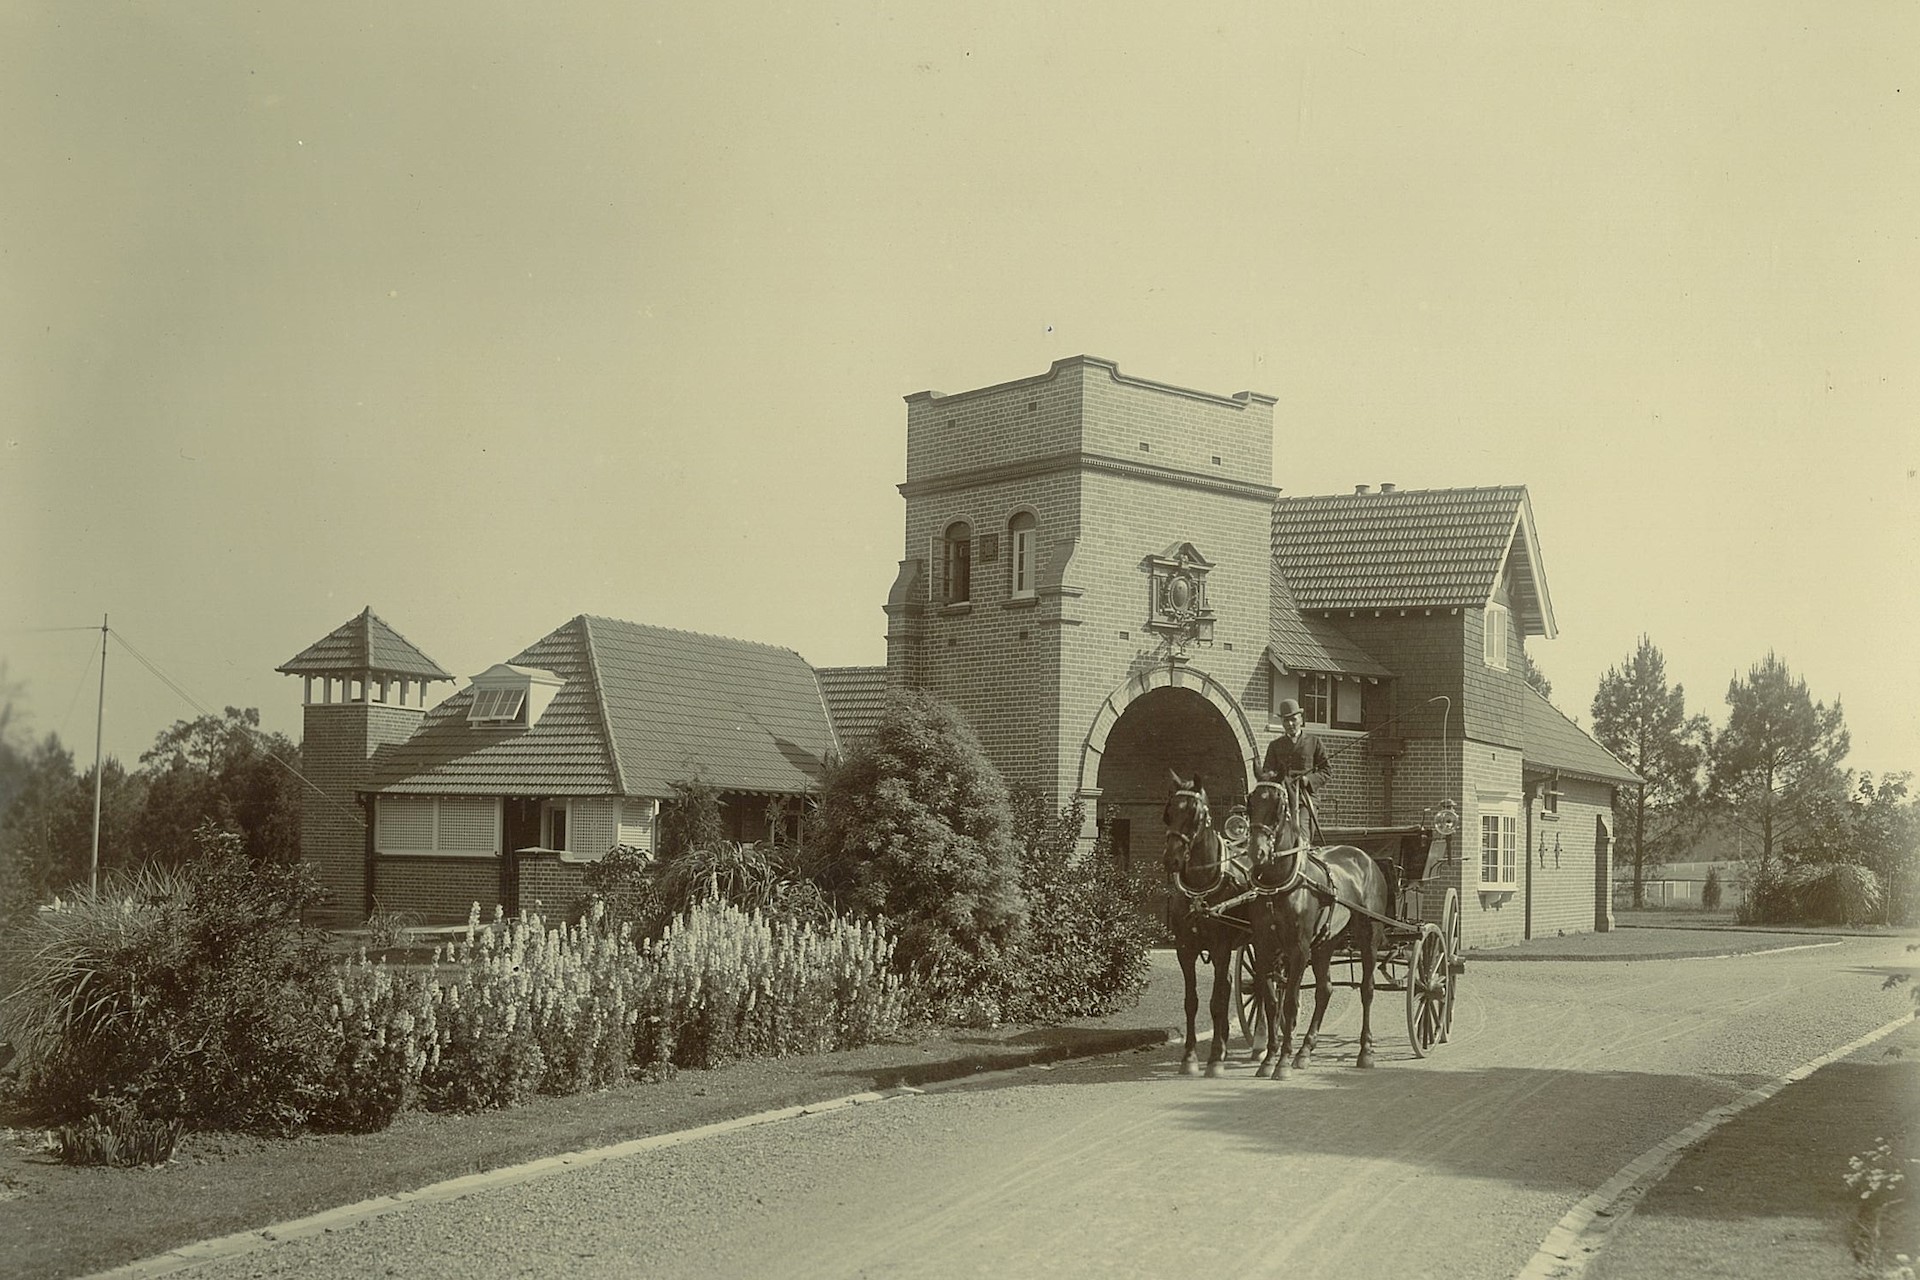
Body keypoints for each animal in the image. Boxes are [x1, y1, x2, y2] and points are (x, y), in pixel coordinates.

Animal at [1159, 775, 1251, 1074]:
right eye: (1168, 813)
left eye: (1196, 815)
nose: (1172, 860)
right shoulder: (1185, 949)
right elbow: (1192, 1002)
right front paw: (1189, 1057)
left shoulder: (1221, 948)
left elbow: (1217, 1002)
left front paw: (1214, 1059)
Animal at [1244, 782, 1397, 1082]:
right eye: (1251, 802)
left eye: (1278, 806)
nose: (1258, 852)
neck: (1282, 882)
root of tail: (1367, 859)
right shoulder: (1265, 947)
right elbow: (1270, 1002)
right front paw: (1268, 1058)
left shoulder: (1299, 949)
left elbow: (1290, 1003)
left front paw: (1282, 1062)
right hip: (1326, 942)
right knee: (1324, 989)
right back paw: (1305, 1051)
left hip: (1368, 936)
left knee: (1367, 989)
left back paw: (1366, 1051)